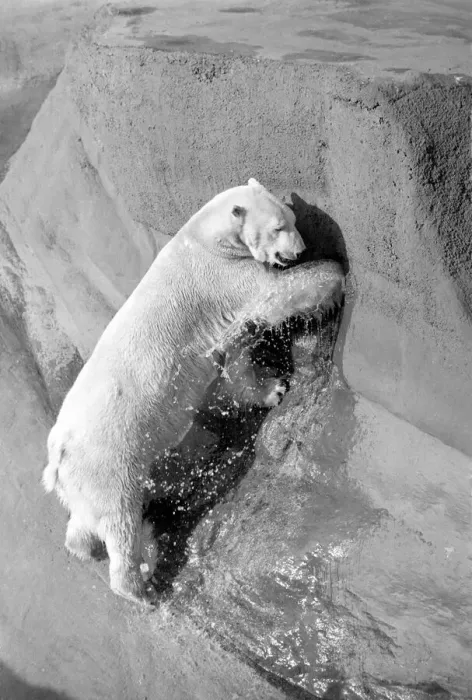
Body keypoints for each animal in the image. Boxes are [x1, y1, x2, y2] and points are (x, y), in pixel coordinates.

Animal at [42, 178, 344, 605]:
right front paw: (333, 276)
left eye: (293, 218)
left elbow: (235, 355)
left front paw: (272, 388)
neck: (202, 237)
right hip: (109, 460)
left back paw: (85, 548)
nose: (299, 250)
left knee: (85, 521)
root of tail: (58, 458)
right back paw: (142, 587)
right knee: (120, 523)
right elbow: (274, 294)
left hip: (85, 480)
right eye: (277, 227)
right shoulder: (223, 277)